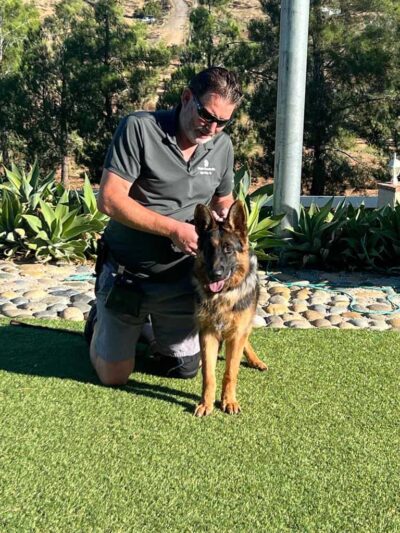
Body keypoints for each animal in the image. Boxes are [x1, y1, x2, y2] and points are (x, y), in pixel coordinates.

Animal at [192, 200, 268, 416]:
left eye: (228, 249)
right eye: (209, 249)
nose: (215, 274)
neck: (223, 295)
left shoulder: (236, 334)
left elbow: (230, 372)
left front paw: (229, 401)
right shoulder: (207, 334)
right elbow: (208, 374)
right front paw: (206, 403)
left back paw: (255, 360)